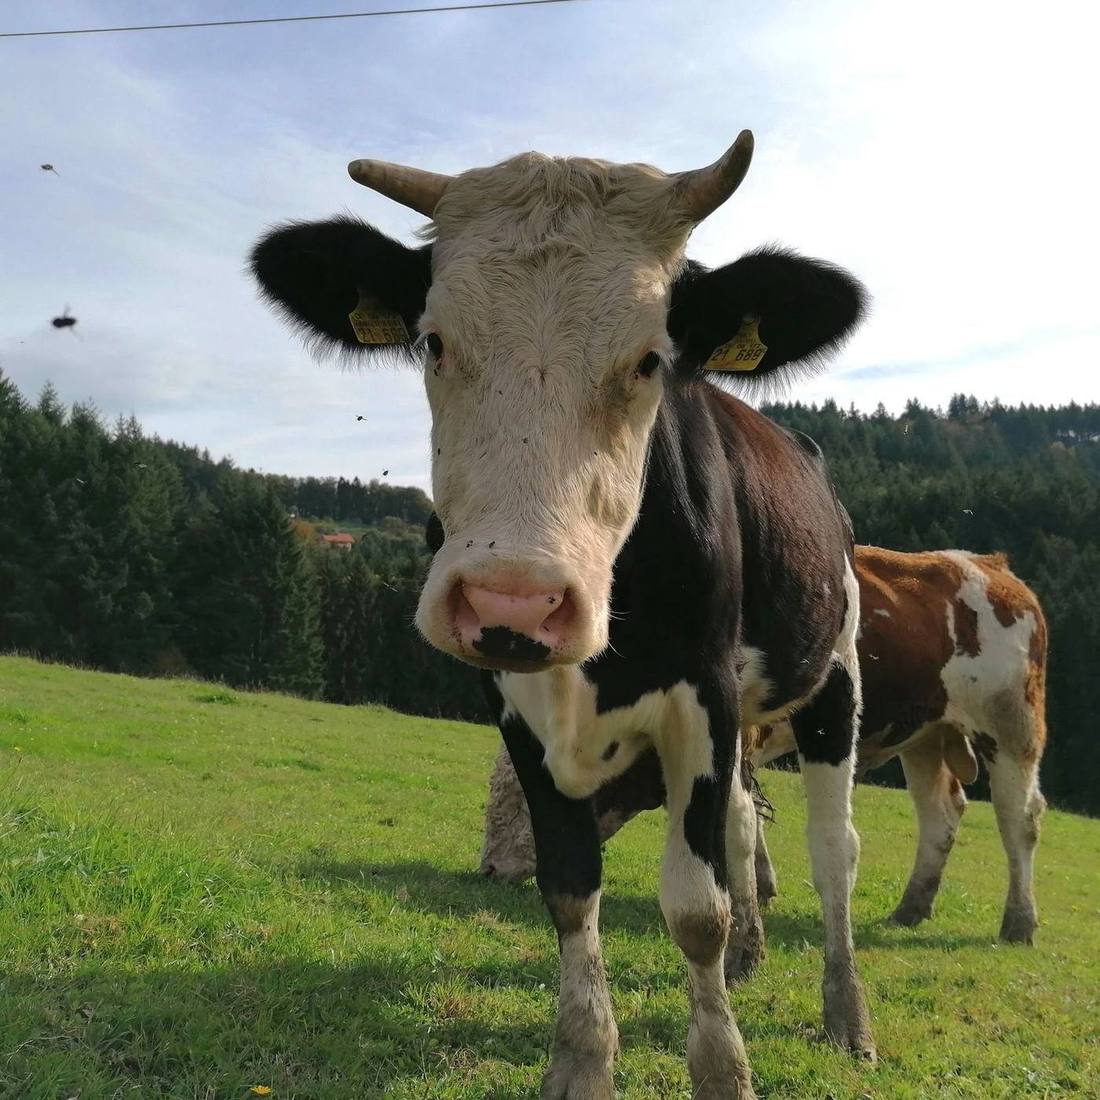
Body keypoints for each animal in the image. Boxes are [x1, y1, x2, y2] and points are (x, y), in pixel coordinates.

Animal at [250, 132, 874, 1099]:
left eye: (652, 359)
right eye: (433, 341)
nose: (515, 597)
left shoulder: (704, 693)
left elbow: (695, 908)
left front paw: (722, 1068)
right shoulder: (513, 702)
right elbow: (571, 885)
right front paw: (583, 1060)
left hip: (833, 678)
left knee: (831, 849)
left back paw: (846, 1014)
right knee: (743, 823)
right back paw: (750, 961)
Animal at [482, 546, 1048, 944]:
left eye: (521, 803)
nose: (489, 869)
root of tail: (991, 567)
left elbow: (739, 816)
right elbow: (749, 816)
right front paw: (761, 885)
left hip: (1011, 730)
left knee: (1018, 818)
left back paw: (1019, 921)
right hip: (925, 738)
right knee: (941, 814)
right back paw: (911, 907)